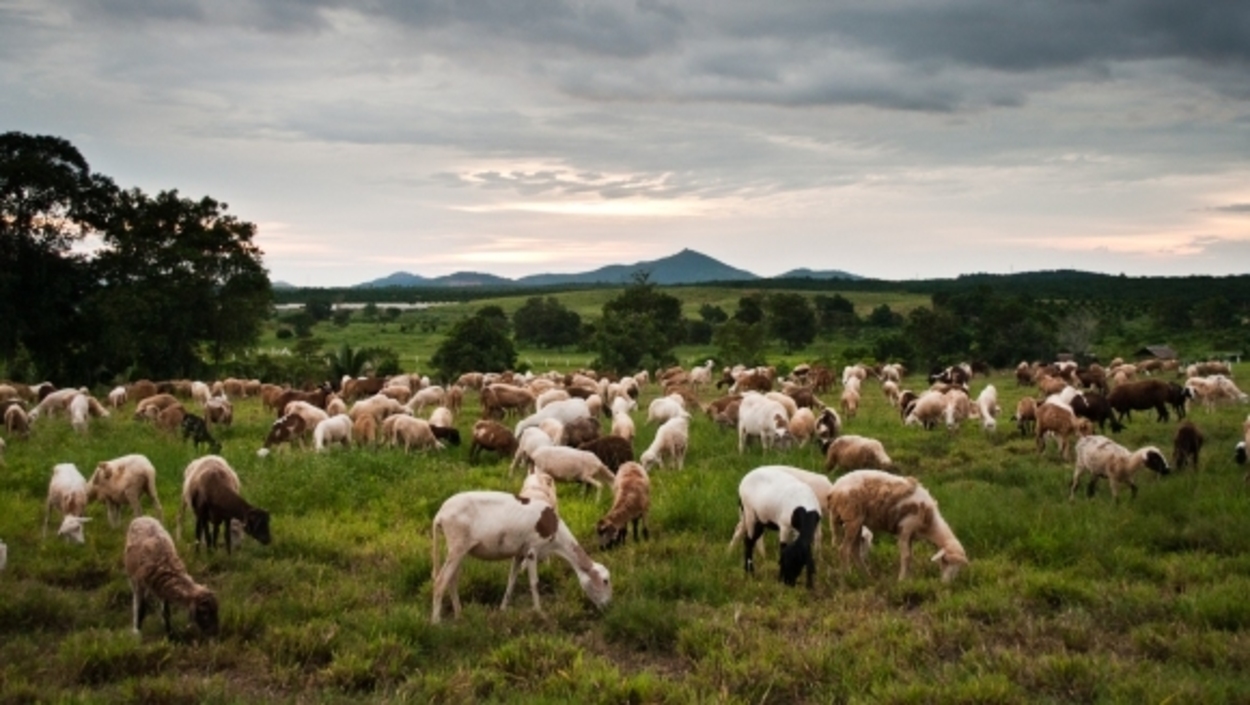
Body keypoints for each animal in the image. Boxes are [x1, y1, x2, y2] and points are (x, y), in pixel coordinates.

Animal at [430, 490, 615, 622]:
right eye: (605, 581)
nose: (608, 606)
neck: (556, 534)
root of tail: (440, 514)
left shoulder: (519, 554)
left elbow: (511, 581)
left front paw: (503, 609)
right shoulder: (532, 550)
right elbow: (534, 582)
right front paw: (540, 613)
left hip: (459, 550)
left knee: (452, 580)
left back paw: (459, 614)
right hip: (457, 546)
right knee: (440, 581)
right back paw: (436, 622)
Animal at [830, 470, 965, 580]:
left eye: (959, 567)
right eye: (945, 561)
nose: (947, 584)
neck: (931, 523)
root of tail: (834, 490)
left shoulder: (911, 535)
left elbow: (910, 557)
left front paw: (909, 579)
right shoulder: (905, 528)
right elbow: (906, 556)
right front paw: (901, 580)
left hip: (857, 522)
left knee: (855, 551)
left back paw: (867, 577)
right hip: (851, 518)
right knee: (844, 550)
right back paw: (847, 576)